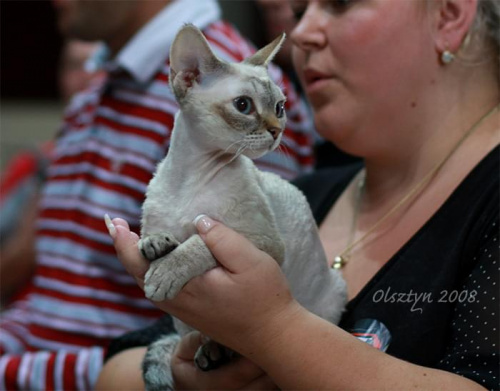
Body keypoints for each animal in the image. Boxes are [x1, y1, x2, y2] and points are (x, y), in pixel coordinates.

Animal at [135, 24, 350, 391]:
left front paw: (166, 271)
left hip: (334, 291)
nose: (277, 131)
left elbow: (199, 242)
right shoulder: (157, 217)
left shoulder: (261, 242)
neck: (191, 178)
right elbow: (153, 234)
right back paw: (213, 352)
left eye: (279, 107)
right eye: (243, 105)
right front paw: (155, 243)